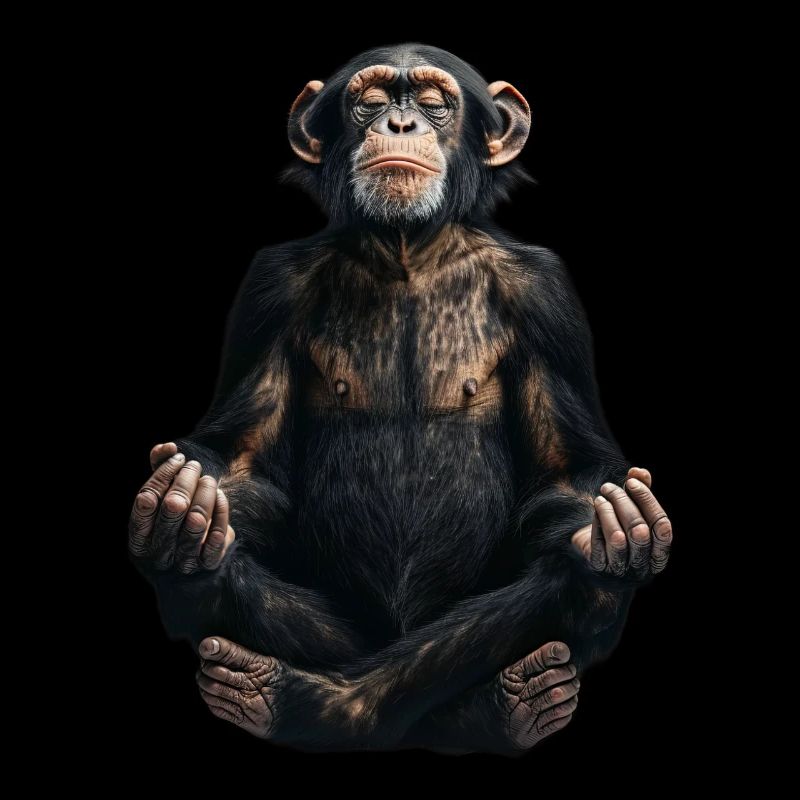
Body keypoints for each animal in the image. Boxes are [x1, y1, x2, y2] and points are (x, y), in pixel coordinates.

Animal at [129, 44, 673, 754]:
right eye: (371, 100)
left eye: (435, 103)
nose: (401, 124)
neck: (407, 251)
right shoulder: (269, 288)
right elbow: (242, 463)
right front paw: (185, 499)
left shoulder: (545, 294)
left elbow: (569, 478)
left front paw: (614, 528)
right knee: (211, 570)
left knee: (573, 582)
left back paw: (485, 703)